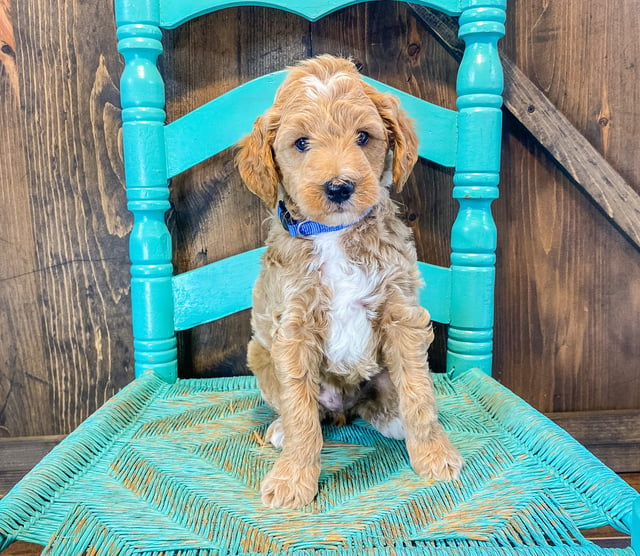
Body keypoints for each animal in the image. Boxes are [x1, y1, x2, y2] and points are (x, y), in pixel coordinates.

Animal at [235, 55, 460, 508]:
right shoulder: (293, 330)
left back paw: (392, 419)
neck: (334, 234)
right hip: (260, 355)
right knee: (304, 410)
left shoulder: (401, 314)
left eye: (363, 137)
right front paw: (293, 479)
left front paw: (434, 455)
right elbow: (301, 413)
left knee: (381, 399)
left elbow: (419, 393)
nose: (339, 187)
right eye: (301, 143)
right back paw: (282, 431)